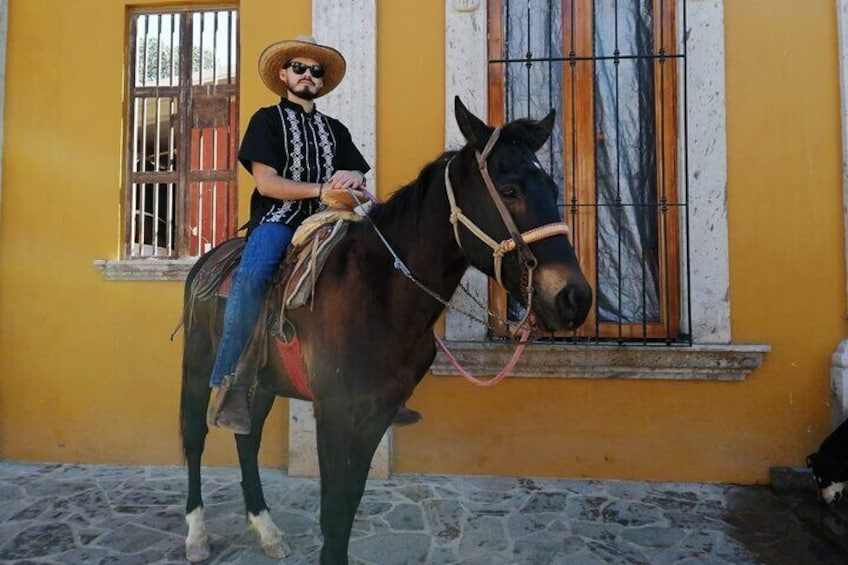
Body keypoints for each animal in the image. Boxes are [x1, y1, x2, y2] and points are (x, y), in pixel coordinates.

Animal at [179, 98, 592, 564]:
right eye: (509, 191)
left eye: (554, 190)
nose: (574, 297)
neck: (382, 293)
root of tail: (208, 259)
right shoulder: (334, 414)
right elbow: (333, 512)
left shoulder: (375, 414)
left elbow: (347, 507)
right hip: (199, 366)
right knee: (194, 438)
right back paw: (196, 534)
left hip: (261, 381)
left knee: (246, 440)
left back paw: (266, 529)